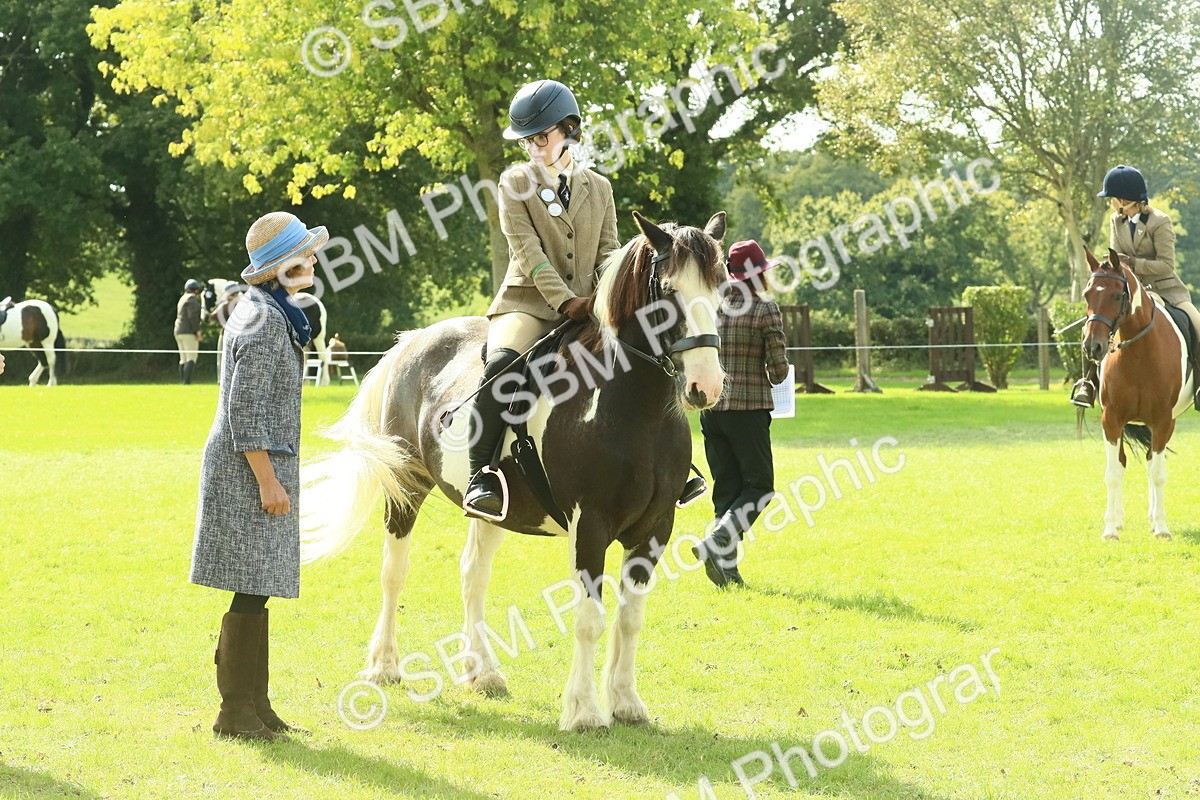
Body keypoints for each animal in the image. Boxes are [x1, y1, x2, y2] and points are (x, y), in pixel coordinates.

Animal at [202, 279, 331, 384]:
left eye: (206, 296)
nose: (205, 317)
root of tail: (317, 301)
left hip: (319, 337)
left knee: (323, 357)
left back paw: (324, 382)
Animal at [299, 210, 727, 731]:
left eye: (722, 285)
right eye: (667, 290)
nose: (706, 386)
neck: (632, 409)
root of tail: (413, 342)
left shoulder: (654, 528)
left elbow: (630, 617)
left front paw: (626, 703)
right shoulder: (590, 525)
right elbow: (590, 618)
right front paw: (584, 711)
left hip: (494, 510)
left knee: (473, 574)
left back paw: (482, 673)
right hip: (406, 487)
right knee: (393, 572)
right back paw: (384, 665)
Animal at [1081, 248, 1194, 540]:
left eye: (1117, 295)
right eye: (1087, 294)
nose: (1092, 347)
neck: (1140, 353)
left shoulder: (1163, 420)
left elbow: (1158, 473)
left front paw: (1162, 528)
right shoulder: (1111, 420)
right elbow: (1113, 472)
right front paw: (1110, 529)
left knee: (1154, 462)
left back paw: (1154, 519)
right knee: (1125, 462)